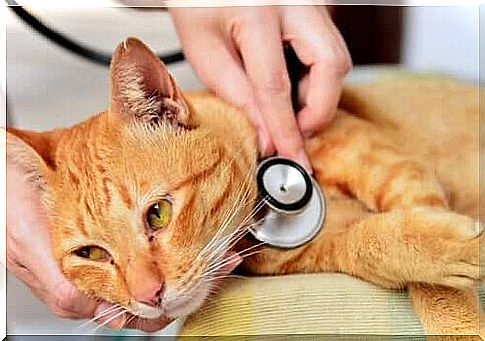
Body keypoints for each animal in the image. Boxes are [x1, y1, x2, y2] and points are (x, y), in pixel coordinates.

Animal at [5, 38, 482, 334]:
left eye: (157, 213)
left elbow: (440, 295)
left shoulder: (399, 171)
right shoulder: (321, 248)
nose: (148, 296)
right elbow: (376, 244)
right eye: (90, 254)